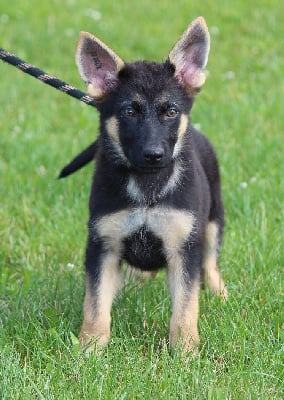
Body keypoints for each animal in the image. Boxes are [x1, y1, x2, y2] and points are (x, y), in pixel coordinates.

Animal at [61, 17, 226, 352]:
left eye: (171, 111)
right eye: (129, 111)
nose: (154, 155)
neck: (148, 188)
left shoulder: (183, 247)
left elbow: (186, 305)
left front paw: (185, 350)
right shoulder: (102, 245)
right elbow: (95, 303)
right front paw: (90, 347)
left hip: (214, 217)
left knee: (211, 261)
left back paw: (219, 292)